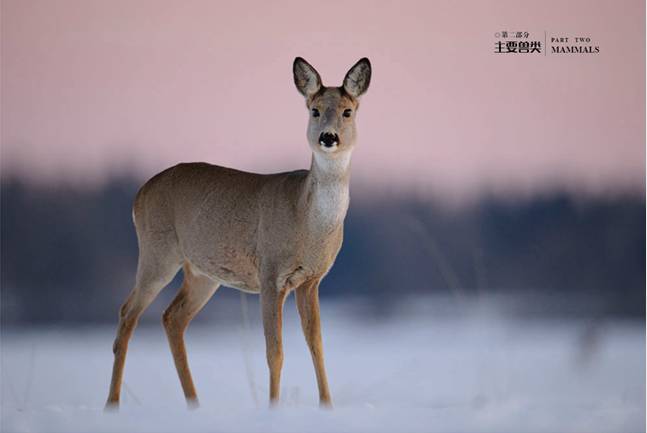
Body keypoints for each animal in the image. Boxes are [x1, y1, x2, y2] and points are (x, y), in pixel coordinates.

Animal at [104, 56, 372, 408]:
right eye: (314, 110)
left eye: (347, 111)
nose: (329, 137)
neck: (307, 219)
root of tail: (139, 194)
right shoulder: (271, 274)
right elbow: (275, 352)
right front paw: (273, 408)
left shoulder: (311, 280)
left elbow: (317, 346)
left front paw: (326, 407)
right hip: (157, 252)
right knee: (127, 313)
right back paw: (112, 404)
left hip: (202, 273)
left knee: (171, 317)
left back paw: (194, 404)